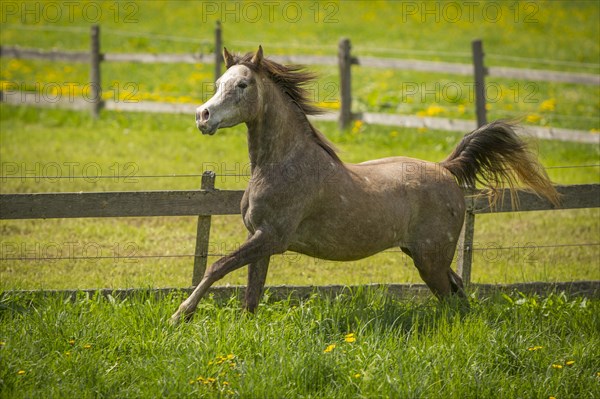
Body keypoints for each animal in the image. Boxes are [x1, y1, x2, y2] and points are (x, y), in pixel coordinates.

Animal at [171, 45, 560, 324]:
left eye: (243, 85)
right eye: (218, 84)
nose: (202, 116)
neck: (283, 165)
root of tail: (445, 168)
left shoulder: (272, 238)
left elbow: (217, 267)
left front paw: (180, 315)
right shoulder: (260, 239)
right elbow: (251, 296)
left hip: (429, 258)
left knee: (450, 295)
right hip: (425, 254)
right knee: (458, 289)